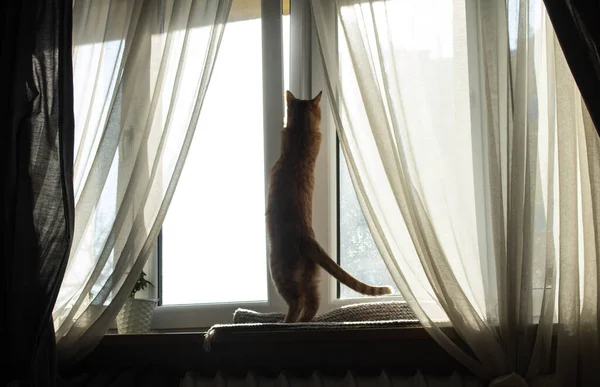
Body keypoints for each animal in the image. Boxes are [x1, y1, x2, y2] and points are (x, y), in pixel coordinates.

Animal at [264, 91, 392, 324]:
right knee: (313, 302)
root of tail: (307, 237)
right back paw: (303, 322)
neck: (302, 131)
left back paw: (286, 322)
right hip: (310, 276)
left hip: (280, 271)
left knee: (298, 301)